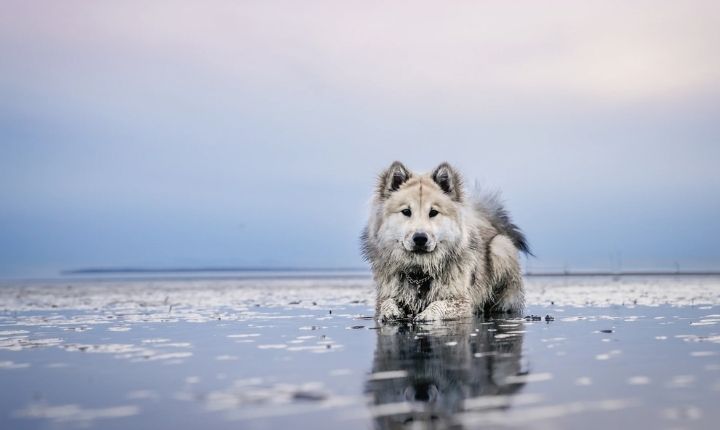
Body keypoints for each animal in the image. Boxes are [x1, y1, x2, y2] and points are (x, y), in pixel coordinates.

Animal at [360, 161, 528, 320]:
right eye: (406, 211)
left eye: (433, 212)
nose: (420, 238)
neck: (419, 274)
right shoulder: (385, 295)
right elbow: (386, 303)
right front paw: (390, 312)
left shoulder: (461, 300)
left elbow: (440, 304)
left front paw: (427, 314)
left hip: (500, 247)